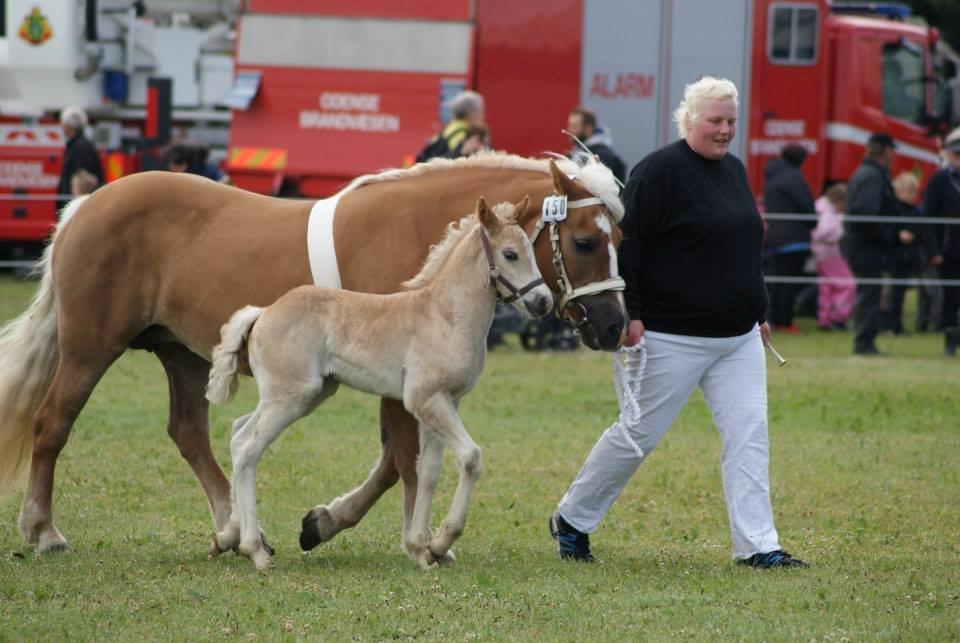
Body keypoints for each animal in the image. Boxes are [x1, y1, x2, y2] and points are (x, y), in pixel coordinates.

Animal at [204, 196, 548, 568]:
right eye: (510, 254)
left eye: (531, 249)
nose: (543, 301)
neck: (445, 316)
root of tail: (264, 312)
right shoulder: (425, 399)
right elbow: (470, 457)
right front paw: (441, 540)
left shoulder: (444, 401)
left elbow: (428, 470)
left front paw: (424, 548)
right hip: (290, 398)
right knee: (248, 449)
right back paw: (255, 549)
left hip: (304, 395)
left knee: (238, 433)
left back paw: (231, 537)